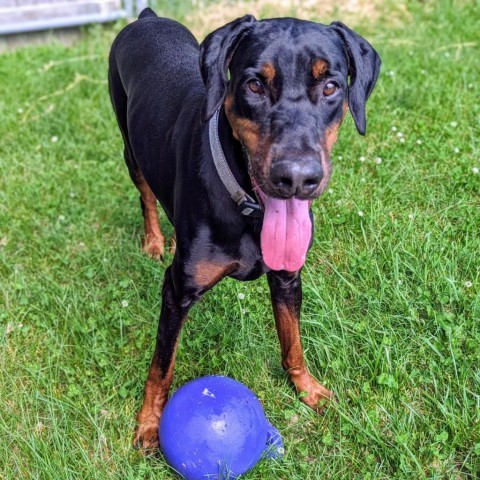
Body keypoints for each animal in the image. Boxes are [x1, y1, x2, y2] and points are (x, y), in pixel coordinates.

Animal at [108, 8, 378, 450]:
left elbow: (292, 341)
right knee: (145, 194)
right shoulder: (177, 290)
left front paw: (308, 389)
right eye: (254, 84)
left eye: (331, 86)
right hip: (130, 146)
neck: (250, 208)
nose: (296, 178)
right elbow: (161, 366)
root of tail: (146, 16)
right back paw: (154, 241)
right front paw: (149, 423)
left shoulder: (288, 276)